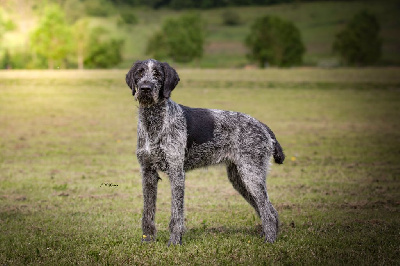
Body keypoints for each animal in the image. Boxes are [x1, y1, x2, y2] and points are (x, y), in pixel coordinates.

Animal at [125, 58, 284, 245]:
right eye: (140, 73)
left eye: (157, 74)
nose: (145, 88)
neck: (153, 121)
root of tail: (262, 125)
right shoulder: (148, 172)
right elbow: (148, 213)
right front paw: (147, 241)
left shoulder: (176, 173)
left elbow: (176, 215)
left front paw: (174, 242)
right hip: (239, 178)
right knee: (270, 210)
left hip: (251, 175)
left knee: (268, 212)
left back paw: (269, 240)